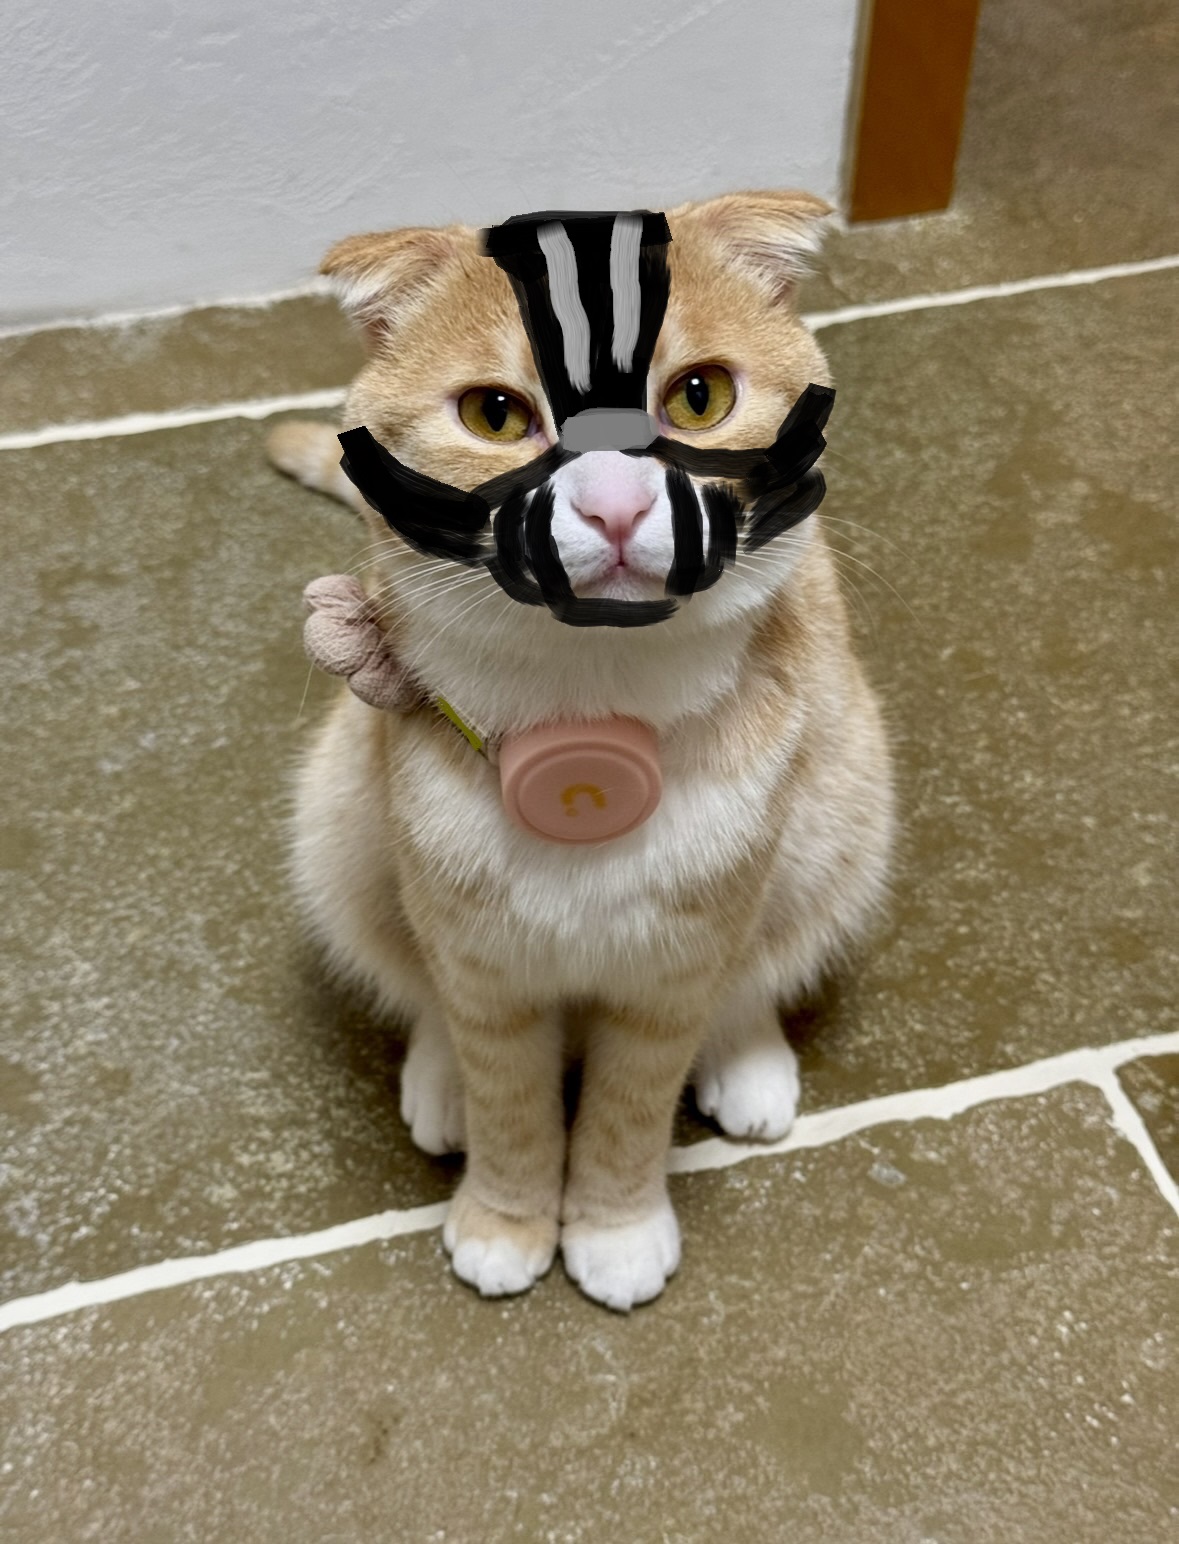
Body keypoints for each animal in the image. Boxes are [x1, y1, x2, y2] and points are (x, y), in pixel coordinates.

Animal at [267, 190, 894, 1312]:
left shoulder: (677, 966)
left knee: (767, 964)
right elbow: (509, 1099)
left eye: (700, 398)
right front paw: (505, 1219)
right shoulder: (480, 961)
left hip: (845, 810)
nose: (613, 503)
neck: (591, 707)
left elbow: (628, 1110)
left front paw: (614, 1227)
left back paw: (749, 1063)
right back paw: (439, 1086)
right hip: (337, 817)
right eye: (494, 416)